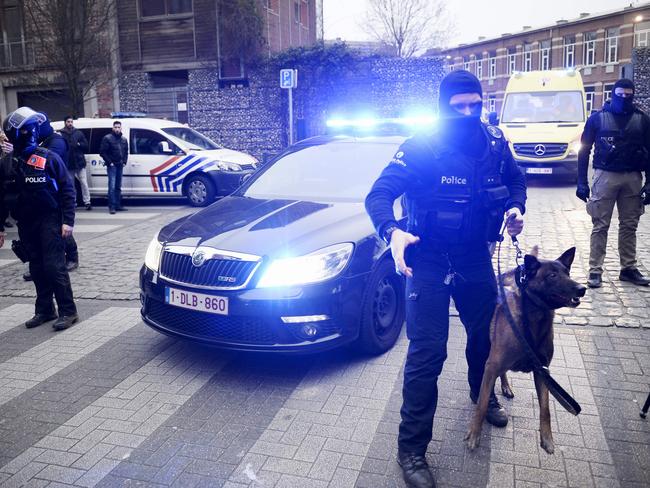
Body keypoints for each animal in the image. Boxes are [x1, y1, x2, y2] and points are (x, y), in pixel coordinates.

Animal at [464, 246, 584, 456]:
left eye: (567, 273)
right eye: (552, 275)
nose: (582, 289)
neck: (533, 322)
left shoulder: (543, 371)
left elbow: (546, 409)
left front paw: (547, 439)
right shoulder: (491, 365)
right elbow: (482, 403)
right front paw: (474, 434)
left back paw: (506, 387)